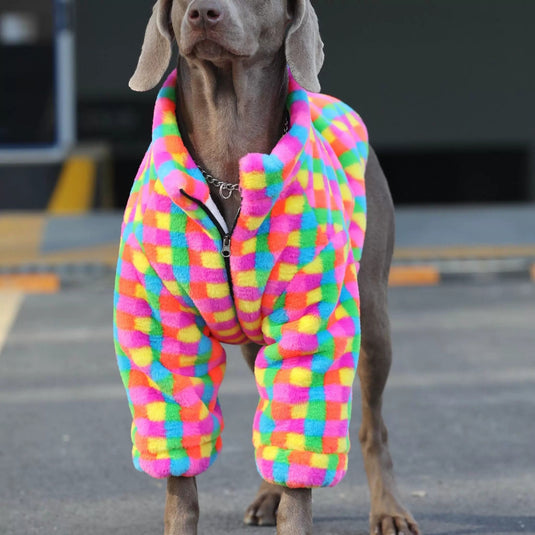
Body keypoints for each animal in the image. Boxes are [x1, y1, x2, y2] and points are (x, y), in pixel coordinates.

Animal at [127, 1, 420, 535]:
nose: (202, 12)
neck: (229, 159)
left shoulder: (311, 325)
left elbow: (301, 459)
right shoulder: (160, 332)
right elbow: (180, 471)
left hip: (373, 321)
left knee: (372, 428)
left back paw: (388, 509)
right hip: (254, 341)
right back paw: (267, 494)